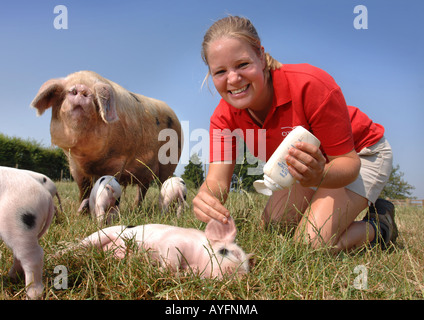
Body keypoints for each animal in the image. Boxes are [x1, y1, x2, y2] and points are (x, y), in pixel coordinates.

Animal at [30, 70, 181, 205]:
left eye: (95, 98)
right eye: (68, 90)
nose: (81, 88)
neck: (87, 157)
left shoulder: (118, 160)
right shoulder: (74, 164)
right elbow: (84, 188)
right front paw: (82, 213)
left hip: (169, 163)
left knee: (163, 184)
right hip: (145, 172)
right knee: (143, 187)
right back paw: (136, 208)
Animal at [78, 218, 252, 278]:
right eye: (225, 251)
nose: (243, 276)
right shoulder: (173, 242)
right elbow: (172, 261)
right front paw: (156, 271)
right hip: (99, 236)